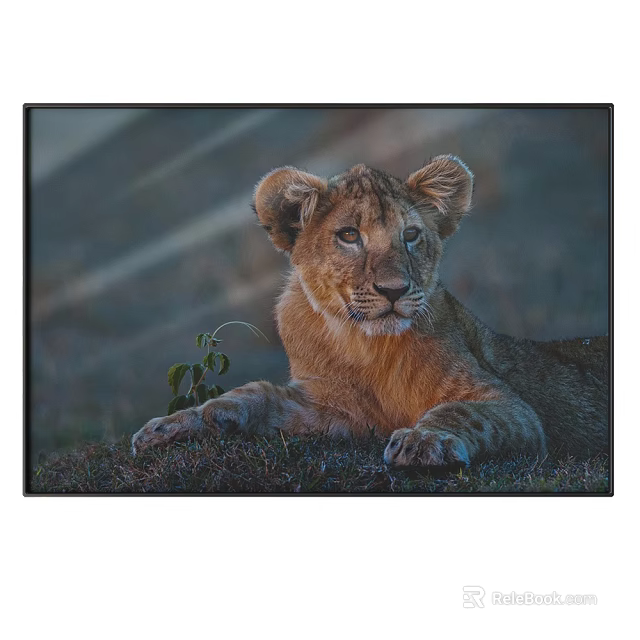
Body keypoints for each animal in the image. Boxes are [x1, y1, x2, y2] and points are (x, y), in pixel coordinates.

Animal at [131, 155, 609, 468]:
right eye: (348, 235)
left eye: (411, 235)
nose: (394, 291)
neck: (366, 346)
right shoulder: (335, 411)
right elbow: (252, 394)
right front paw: (174, 424)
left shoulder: (513, 408)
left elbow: (459, 411)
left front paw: (422, 440)